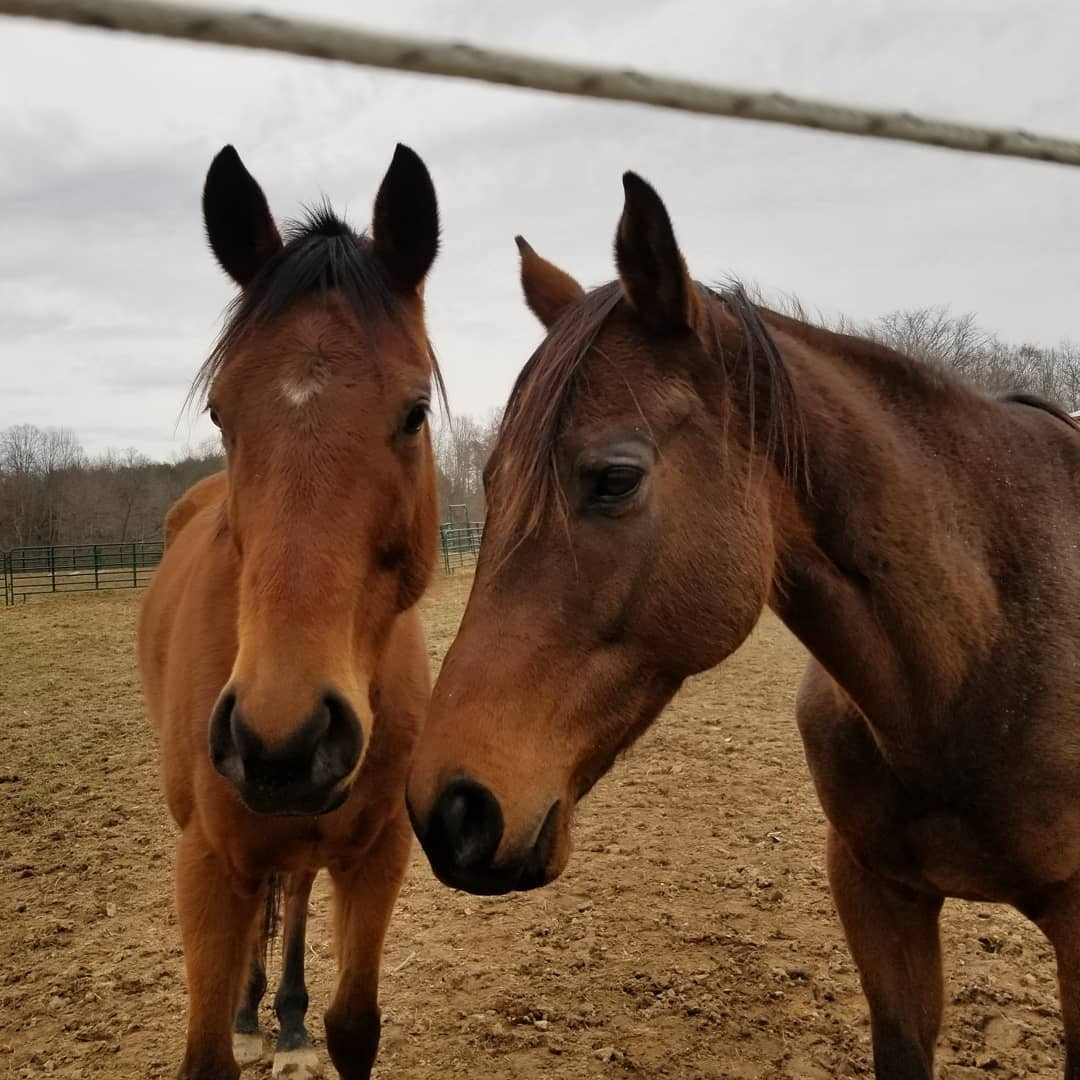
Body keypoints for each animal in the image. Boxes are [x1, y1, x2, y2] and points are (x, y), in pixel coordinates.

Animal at [141, 145, 440, 1080]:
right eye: (220, 413)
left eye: (414, 413)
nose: (281, 737)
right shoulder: (206, 864)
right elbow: (205, 1056)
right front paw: (237, 1019)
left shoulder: (380, 853)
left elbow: (355, 1026)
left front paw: (313, 1020)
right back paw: (251, 1010)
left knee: (297, 889)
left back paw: (291, 1013)